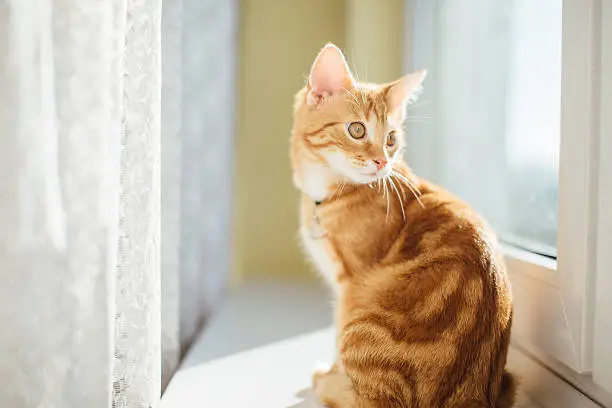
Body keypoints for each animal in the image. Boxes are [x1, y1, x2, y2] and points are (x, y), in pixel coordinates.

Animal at [292, 44, 516, 408]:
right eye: (357, 130)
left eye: (392, 139)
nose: (382, 161)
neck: (330, 194)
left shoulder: (349, 288)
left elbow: (337, 337)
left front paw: (331, 373)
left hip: (365, 324)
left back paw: (327, 383)